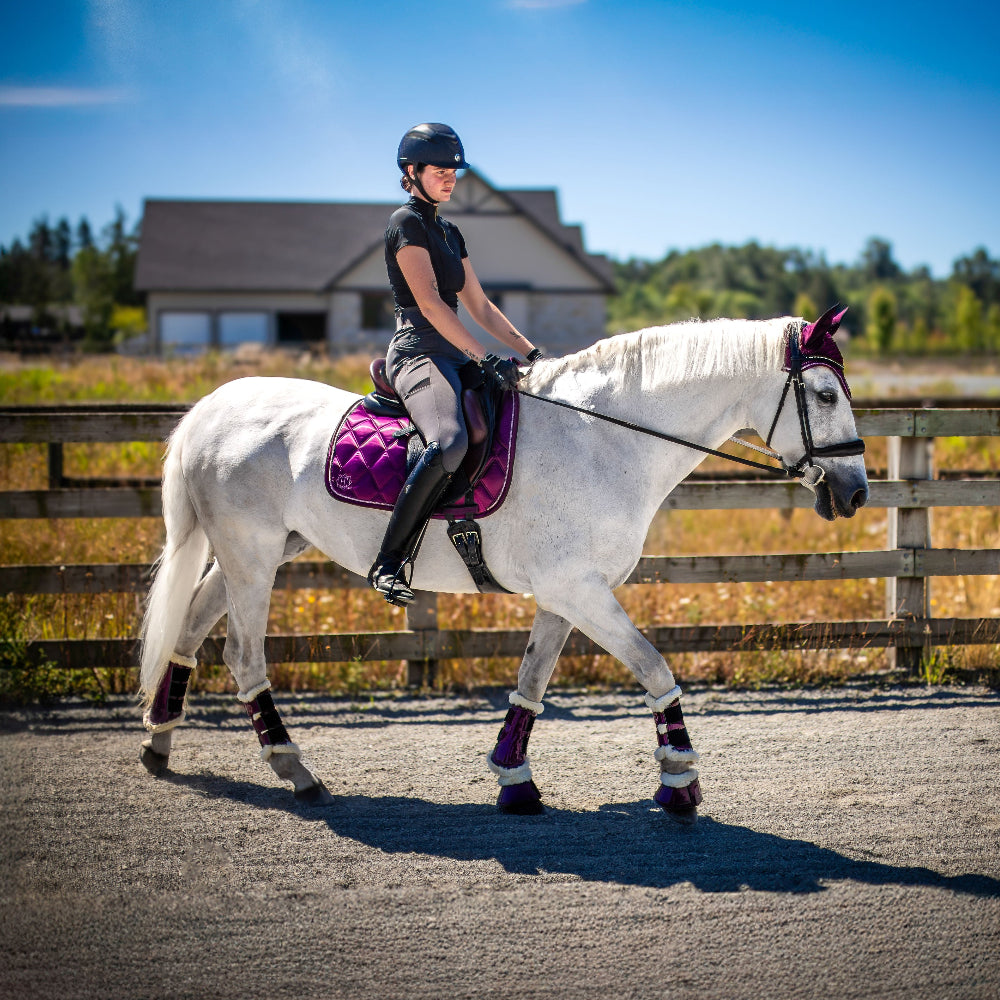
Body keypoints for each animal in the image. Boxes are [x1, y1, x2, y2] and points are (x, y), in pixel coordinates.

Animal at [138, 308, 868, 821]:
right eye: (826, 394)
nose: (856, 492)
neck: (603, 438)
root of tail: (214, 405)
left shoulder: (564, 594)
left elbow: (532, 682)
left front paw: (515, 782)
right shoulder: (580, 590)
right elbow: (655, 667)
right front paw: (679, 781)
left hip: (257, 552)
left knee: (191, 629)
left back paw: (159, 744)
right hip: (252, 555)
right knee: (242, 654)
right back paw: (295, 771)